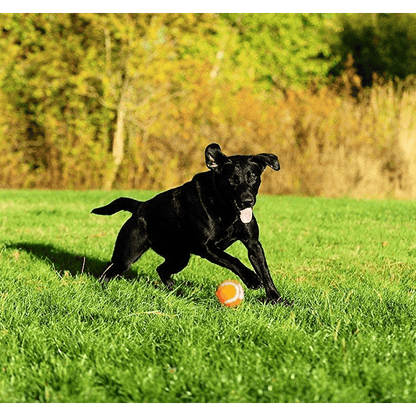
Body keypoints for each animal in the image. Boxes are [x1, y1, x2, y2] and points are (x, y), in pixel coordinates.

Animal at [92, 143, 290, 306]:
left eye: (253, 176)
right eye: (232, 179)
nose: (247, 201)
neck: (226, 209)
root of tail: (140, 206)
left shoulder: (253, 244)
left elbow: (265, 272)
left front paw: (278, 300)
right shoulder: (207, 247)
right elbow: (233, 259)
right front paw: (252, 279)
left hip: (180, 257)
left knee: (161, 269)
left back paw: (175, 289)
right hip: (127, 256)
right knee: (107, 272)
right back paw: (103, 290)